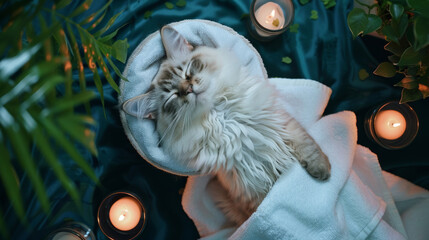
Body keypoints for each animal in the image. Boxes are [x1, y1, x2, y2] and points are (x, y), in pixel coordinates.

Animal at [122, 26, 330, 227]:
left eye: (187, 72)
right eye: (172, 96)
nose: (188, 89)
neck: (223, 116)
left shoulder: (282, 123)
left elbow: (307, 145)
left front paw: (323, 171)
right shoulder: (250, 186)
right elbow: (263, 206)